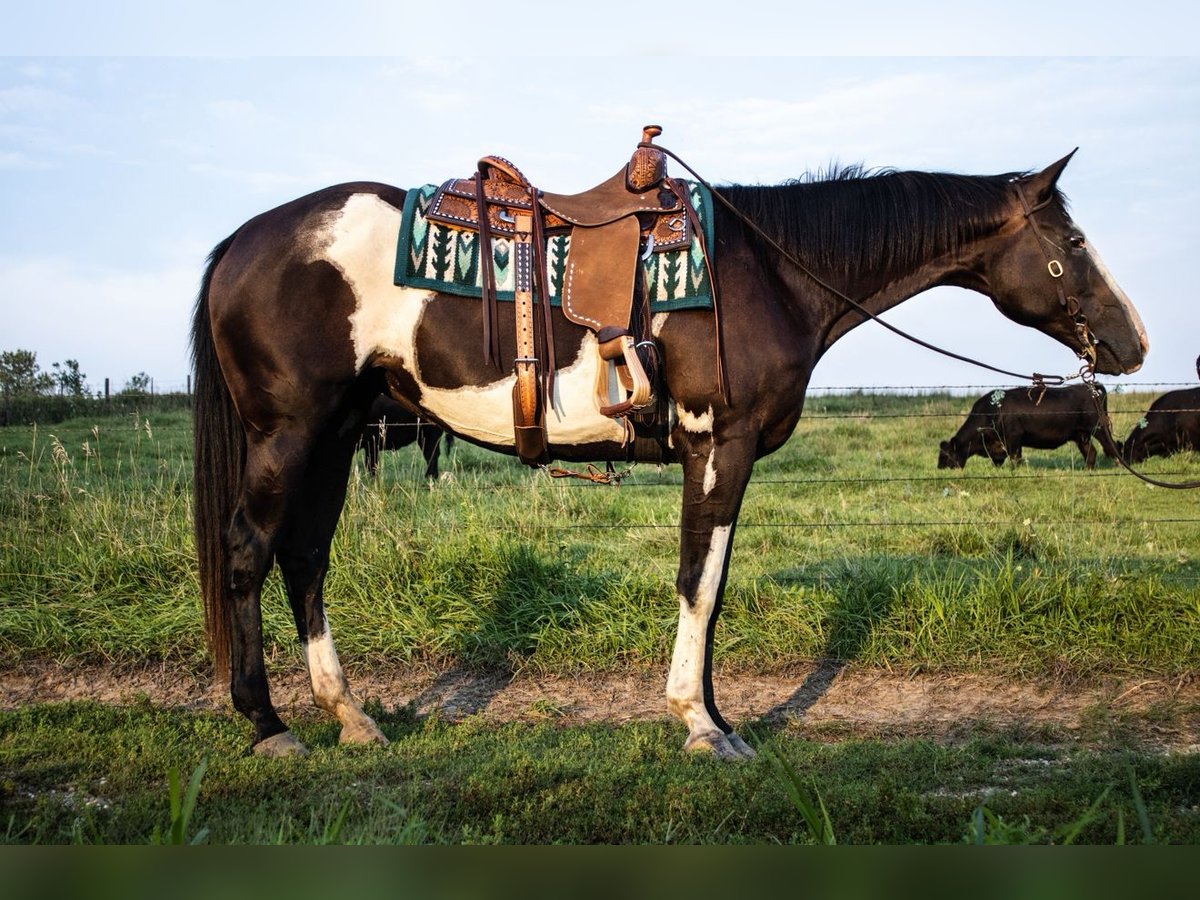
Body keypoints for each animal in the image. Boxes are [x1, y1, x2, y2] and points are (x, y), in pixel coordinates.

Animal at [191, 148, 1147, 759]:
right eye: (1071, 246)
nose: (1132, 343)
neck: (770, 271)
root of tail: (244, 240)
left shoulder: (728, 457)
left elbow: (713, 590)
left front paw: (719, 715)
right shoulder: (718, 446)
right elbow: (700, 581)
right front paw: (699, 724)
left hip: (337, 437)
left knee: (306, 559)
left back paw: (349, 716)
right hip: (290, 436)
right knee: (248, 553)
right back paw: (268, 725)